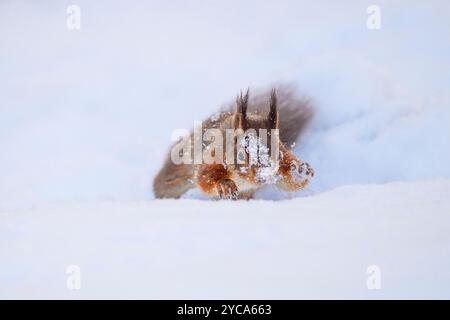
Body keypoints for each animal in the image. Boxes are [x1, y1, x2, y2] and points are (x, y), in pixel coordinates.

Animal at [153, 85, 314, 200]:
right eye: (242, 154)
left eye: (278, 153)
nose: (264, 176)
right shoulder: (213, 156)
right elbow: (205, 177)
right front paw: (226, 185)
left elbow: (290, 183)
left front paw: (300, 170)